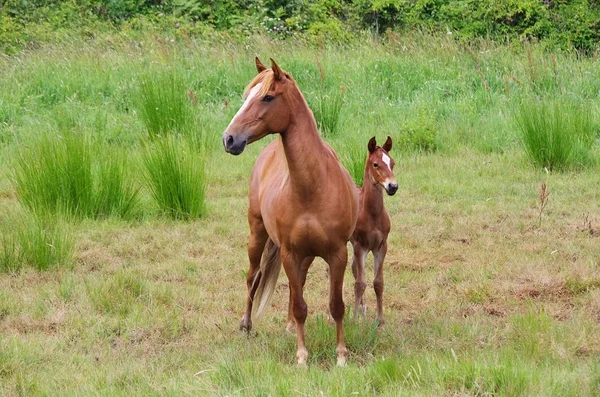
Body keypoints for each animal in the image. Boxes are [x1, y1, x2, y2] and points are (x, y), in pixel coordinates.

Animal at [223, 56, 358, 366]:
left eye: (267, 97)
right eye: (247, 96)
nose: (229, 139)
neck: (311, 189)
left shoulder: (337, 254)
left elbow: (336, 305)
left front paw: (341, 355)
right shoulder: (289, 253)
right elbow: (299, 306)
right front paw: (302, 356)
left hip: (304, 256)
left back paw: (286, 327)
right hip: (258, 235)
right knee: (253, 276)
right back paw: (246, 325)